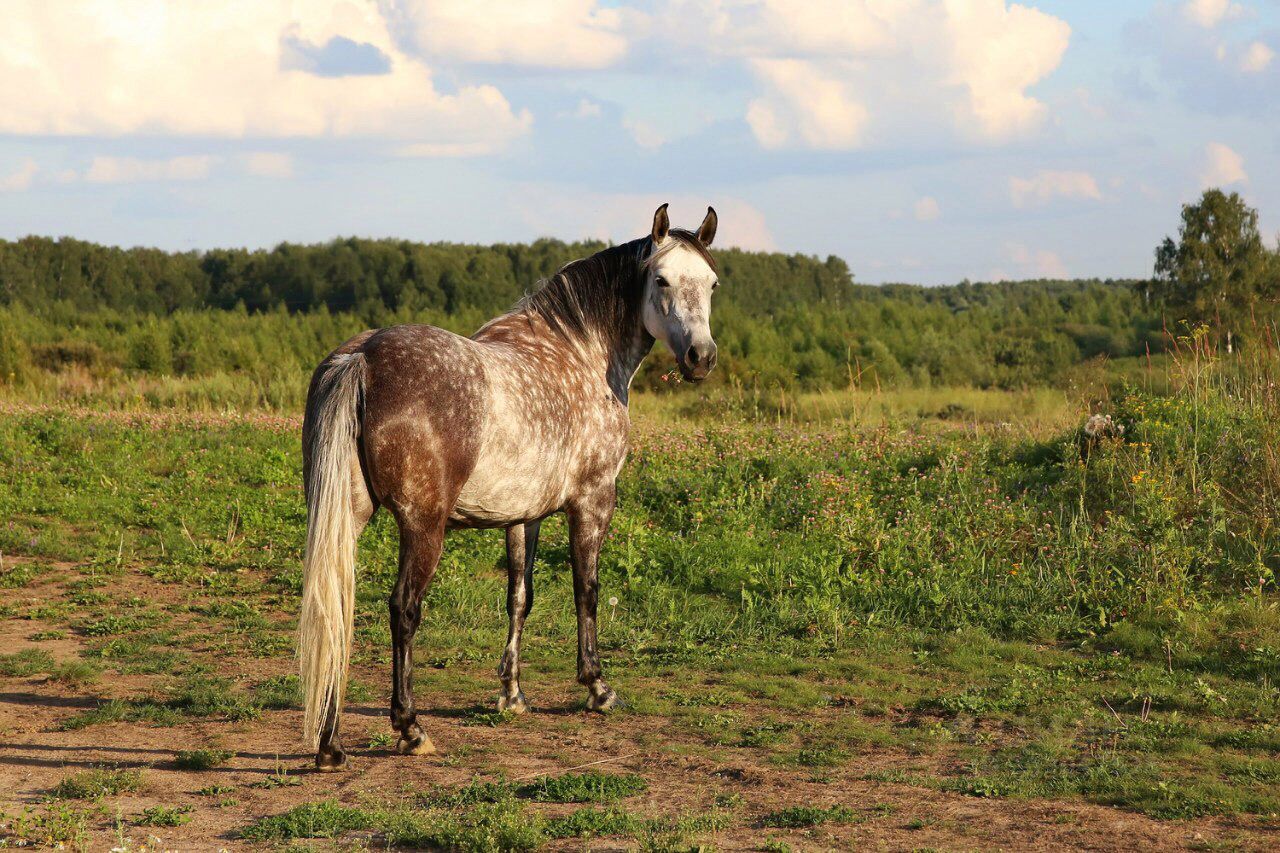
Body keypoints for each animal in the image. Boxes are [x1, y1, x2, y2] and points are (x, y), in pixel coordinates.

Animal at [296, 202, 721, 768]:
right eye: (661, 279)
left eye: (712, 283)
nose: (701, 357)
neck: (580, 353)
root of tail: (359, 359)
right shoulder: (593, 501)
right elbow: (586, 589)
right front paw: (597, 687)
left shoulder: (524, 516)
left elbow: (521, 595)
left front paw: (512, 694)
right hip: (423, 528)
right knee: (403, 610)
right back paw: (410, 729)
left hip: (348, 516)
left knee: (333, 608)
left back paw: (330, 745)